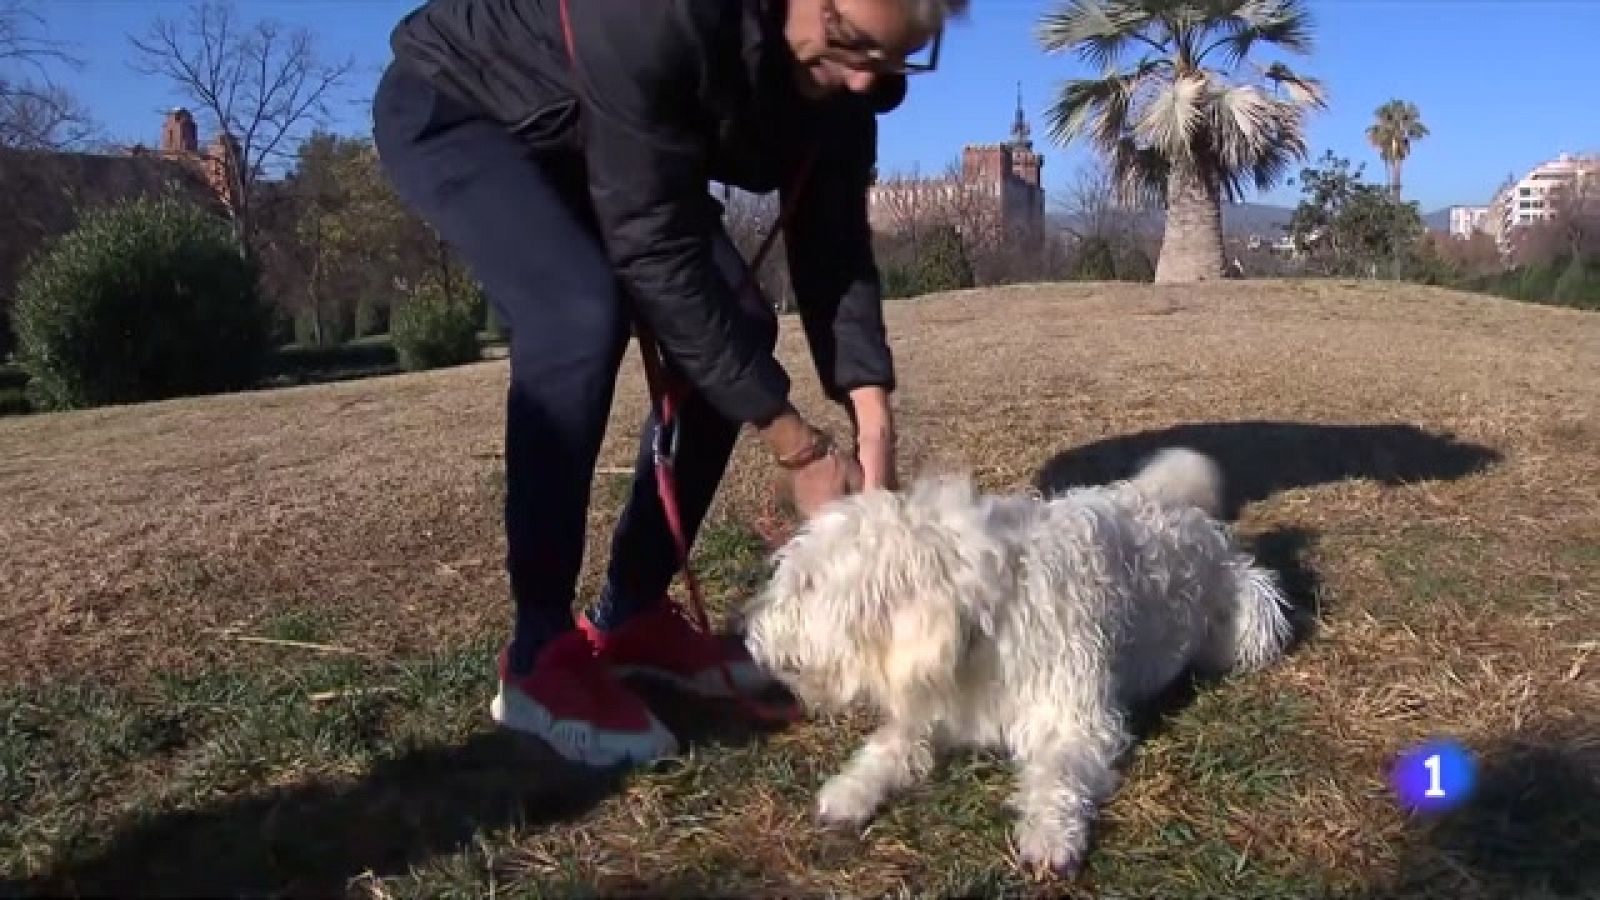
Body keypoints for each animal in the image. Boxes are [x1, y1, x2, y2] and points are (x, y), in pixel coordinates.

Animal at [742, 445, 1292, 871]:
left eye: (809, 583)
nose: (748, 636)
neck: (984, 624)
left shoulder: (1075, 720)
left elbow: (1058, 775)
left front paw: (1049, 835)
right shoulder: (932, 707)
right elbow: (888, 747)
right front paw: (850, 790)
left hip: (1249, 625)